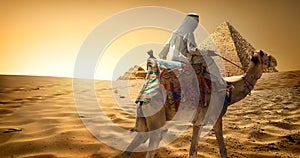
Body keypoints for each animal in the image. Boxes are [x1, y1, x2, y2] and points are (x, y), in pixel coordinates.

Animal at [122, 50, 276, 157]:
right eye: (267, 56)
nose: (275, 61)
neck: (229, 90)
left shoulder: (198, 123)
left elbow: (193, 151)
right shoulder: (216, 118)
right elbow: (223, 150)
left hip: (145, 121)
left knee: (129, 149)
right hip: (156, 118)